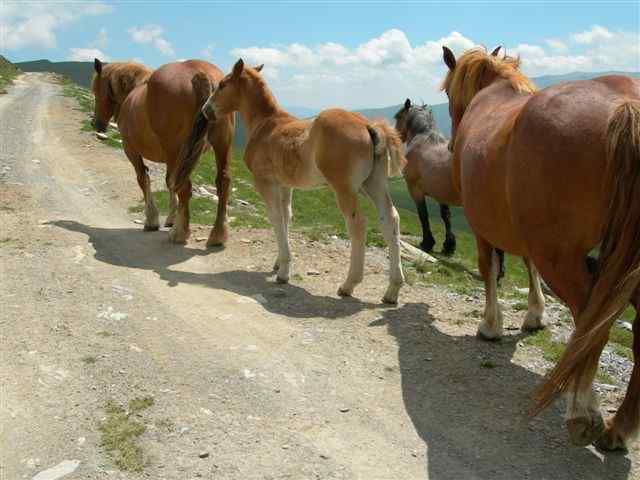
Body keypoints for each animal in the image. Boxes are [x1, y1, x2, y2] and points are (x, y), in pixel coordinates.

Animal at [92, 58, 235, 246]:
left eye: (95, 90)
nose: (96, 123)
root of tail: (200, 72)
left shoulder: (131, 150)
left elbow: (143, 179)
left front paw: (152, 220)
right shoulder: (172, 159)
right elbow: (169, 183)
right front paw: (172, 218)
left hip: (176, 150)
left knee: (185, 187)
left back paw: (180, 233)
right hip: (221, 144)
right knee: (222, 182)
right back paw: (218, 234)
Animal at [175, 58, 404, 302]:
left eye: (222, 84)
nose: (206, 110)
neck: (266, 124)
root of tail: (368, 126)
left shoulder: (265, 183)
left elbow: (275, 217)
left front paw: (284, 271)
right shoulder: (284, 185)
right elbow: (286, 217)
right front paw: (278, 263)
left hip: (345, 189)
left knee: (357, 224)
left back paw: (348, 285)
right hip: (374, 184)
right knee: (390, 220)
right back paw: (392, 290)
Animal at [440, 45, 640, 450]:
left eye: (450, 96)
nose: (451, 146)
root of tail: (624, 106)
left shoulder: (483, 224)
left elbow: (489, 268)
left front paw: (491, 325)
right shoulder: (524, 231)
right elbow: (526, 264)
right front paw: (535, 314)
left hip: (563, 259)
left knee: (590, 324)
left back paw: (583, 414)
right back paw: (618, 428)